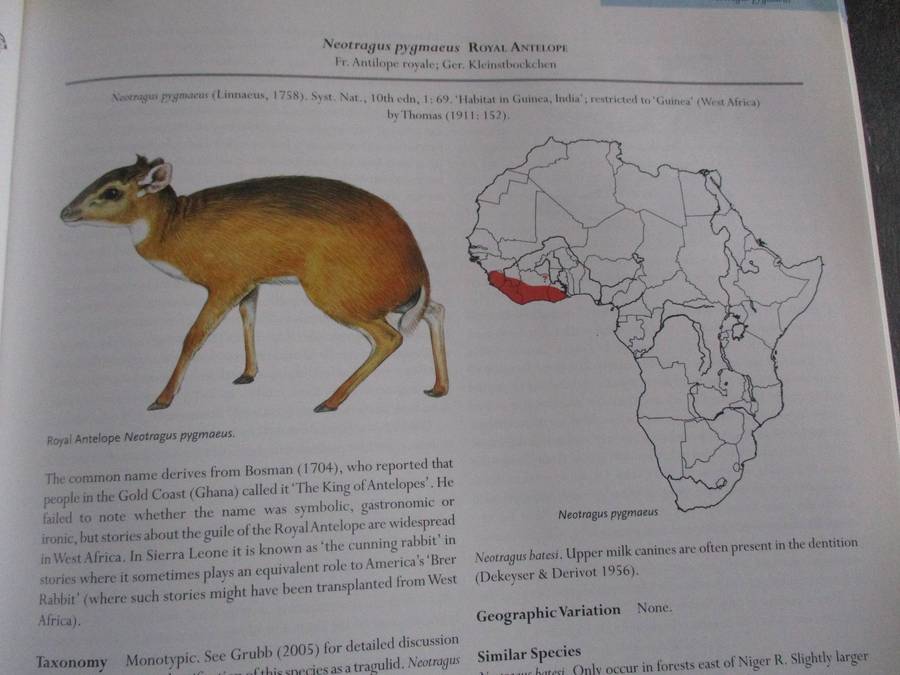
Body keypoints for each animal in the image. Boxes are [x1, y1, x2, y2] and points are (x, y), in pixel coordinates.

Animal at [60, 156, 448, 412]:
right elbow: (249, 319)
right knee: (435, 310)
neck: (174, 232)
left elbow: (194, 336)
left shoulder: (226, 281)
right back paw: (438, 388)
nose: (65, 212)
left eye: (112, 191)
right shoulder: (251, 282)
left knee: (390, 337)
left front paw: (162, 399)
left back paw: (329, 400)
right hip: (386, 298)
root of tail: (419, 268)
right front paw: (247, 374)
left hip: (336, 294)